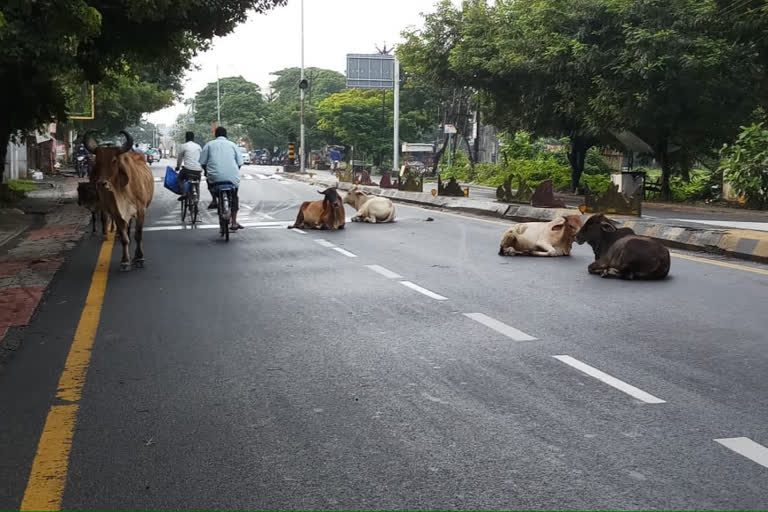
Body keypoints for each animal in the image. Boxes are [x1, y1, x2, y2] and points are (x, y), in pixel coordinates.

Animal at [86, 130, 154, 270]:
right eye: (98, 161)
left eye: (114, 160)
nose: (101, 183)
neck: (122, 192)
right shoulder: (116, 213)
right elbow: (124, 237)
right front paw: (125, 260)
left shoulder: (141, 210)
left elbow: (138, 235)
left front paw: (139, 258)